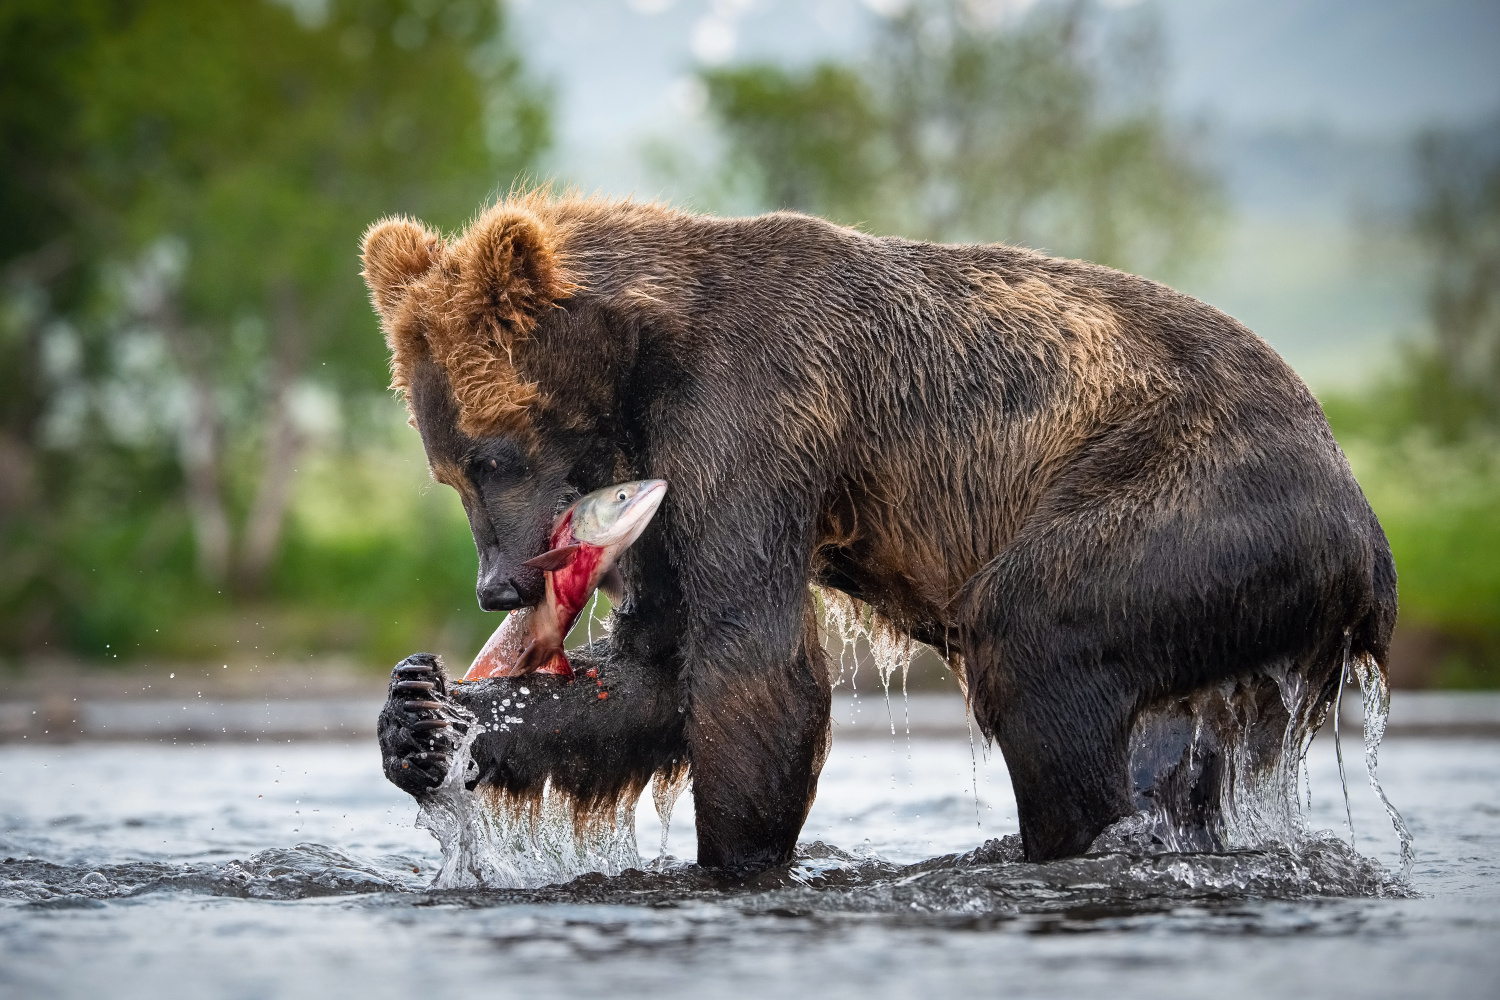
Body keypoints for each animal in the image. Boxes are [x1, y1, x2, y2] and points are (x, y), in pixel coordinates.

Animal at [363, 189, 1392, 869]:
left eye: (494, 455)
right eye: (448, 468)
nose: (498, 584)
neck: (641, 367)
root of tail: (1362, 519)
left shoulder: (750, 420)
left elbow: (752, 667)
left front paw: (732, 861)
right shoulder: (662, 489)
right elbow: (653, 668)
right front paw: (423, 718)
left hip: (1194, 504)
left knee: (1038, 638)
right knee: (1172, 736)